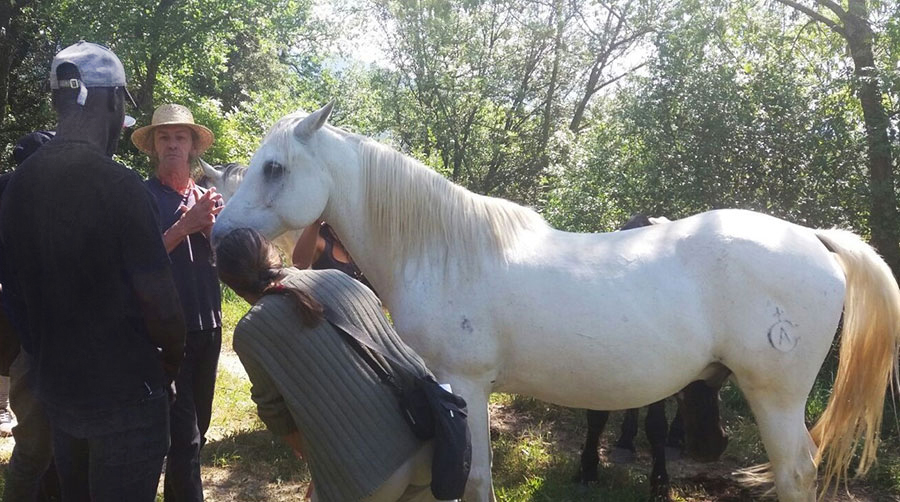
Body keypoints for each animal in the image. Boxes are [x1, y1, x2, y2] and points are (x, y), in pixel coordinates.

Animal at [214, 103, 900, 502]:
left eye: (274, 168)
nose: (223, 241)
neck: (444, 249)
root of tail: (812, 238)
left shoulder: (464, 384)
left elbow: (473, 478)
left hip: (774, 397)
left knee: (796, 473)